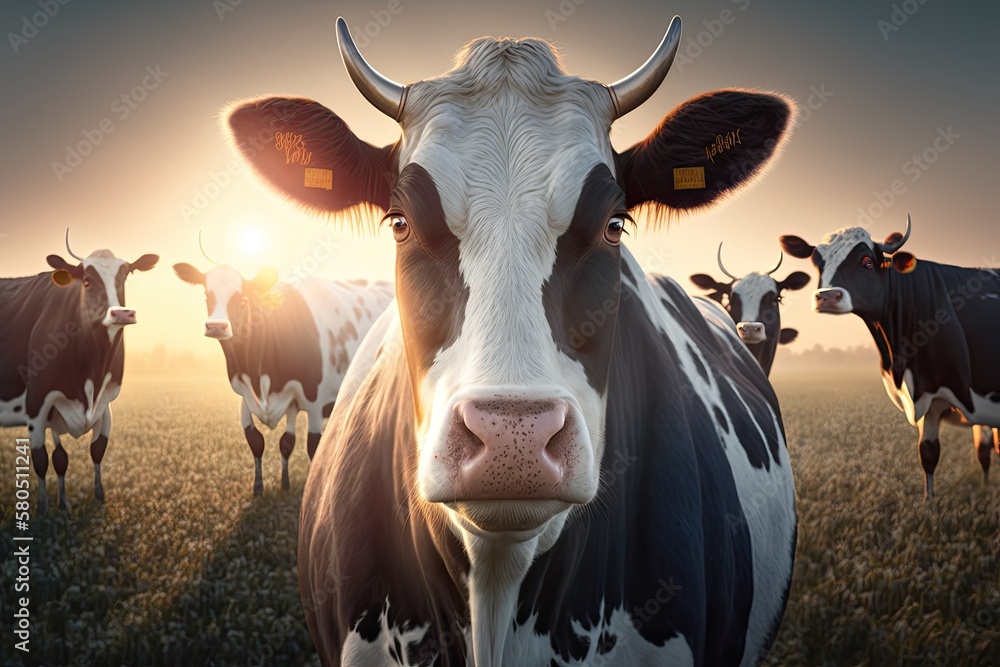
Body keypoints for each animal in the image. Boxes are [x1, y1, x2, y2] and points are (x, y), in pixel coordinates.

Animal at [0, 232, 157, 516]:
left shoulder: (105, 400)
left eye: (125, 276)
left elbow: (89, 452)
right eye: (86, 281)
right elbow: (41, 459)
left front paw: (93, 497)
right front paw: (42, 508)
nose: (121, 313)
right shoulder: (37, 402)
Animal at [174, 240, 392, 496]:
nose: (217, 326)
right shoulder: (248, 395)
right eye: (206, 294)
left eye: (243, 298)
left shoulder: (313, 399)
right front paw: (266, 486)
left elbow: (312, 446)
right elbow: (266, 441)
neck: (259, 377)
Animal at [780, 217, 1000, 498]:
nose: (827, 296)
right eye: (818, 262)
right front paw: (929, 503)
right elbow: (929, 454)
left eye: (867, 261)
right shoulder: (925, 399)